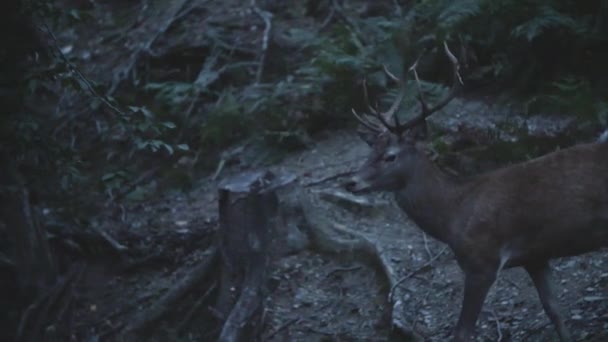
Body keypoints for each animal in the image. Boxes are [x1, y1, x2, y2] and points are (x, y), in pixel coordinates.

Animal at [342, 41, 608, 340]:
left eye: (390, 156)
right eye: (370, 152)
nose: (351, 182)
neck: (454, 214)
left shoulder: (482, 261)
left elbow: (463, 331)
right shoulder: (535, 256)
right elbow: (554, 310)